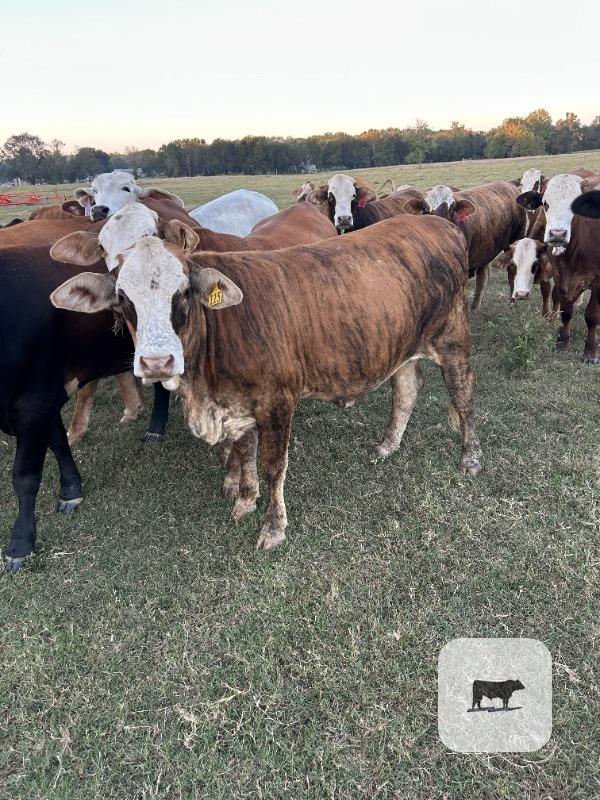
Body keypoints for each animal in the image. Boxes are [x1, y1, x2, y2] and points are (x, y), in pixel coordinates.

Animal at [0, 245, 137, 572]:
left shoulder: (35, 401)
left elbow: (25, 476)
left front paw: (21, 542)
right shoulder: (47, 397)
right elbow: (60, 443)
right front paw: (72, 490)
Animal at [51, 210, 483, 552]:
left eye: (184, 291)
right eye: (123, 296)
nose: (157, 361)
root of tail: (436, 221)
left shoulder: (278, 402)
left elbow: (274, 465)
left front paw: (273, 528)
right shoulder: (238, 405)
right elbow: (244, 453)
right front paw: (245, 500)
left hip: (454, 339)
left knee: (463, 396)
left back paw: (470, 458)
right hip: (403, 344)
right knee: (406, 390)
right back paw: (388, 445)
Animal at [413, 182, 528, 310]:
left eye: (452, 208)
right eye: (425, 209)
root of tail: (508, 185)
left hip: (517, 238)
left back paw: (512, 300)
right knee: (482, 277)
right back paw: (475, 307)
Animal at [516, 173, 600, 362]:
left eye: (576, 206)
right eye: (545, 203)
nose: (557, 234)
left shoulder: (599, 280)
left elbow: (592, 316)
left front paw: (590, 351)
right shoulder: (560, 276)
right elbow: (565, 310)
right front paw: (563, 341)